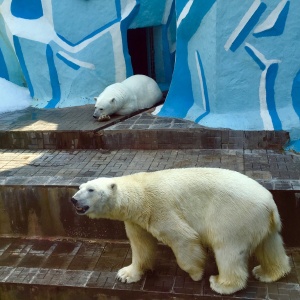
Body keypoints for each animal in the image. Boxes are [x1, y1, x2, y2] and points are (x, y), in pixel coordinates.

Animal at [70, 169, 290, 296]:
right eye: (80, 187)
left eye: (90, 190)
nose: (73, 199)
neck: (139, 193)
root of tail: (270, 203)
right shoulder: (136, 220)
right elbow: (141, 245)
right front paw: (125, 274)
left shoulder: (159, 207)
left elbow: (183, 237)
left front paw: (196, 272)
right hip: (260, 221)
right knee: (270, 246)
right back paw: (268, 273)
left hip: (233, 215)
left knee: (227, 248)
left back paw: (221, 284)